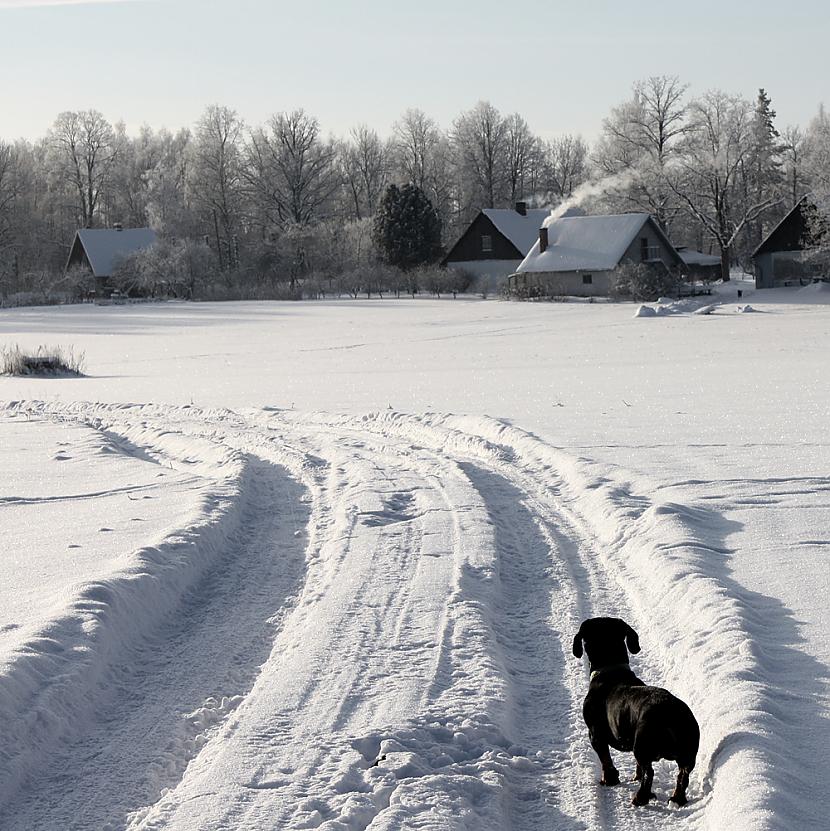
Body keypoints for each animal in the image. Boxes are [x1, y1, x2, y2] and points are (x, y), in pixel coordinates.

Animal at [580, 616, 704, 808]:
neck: (611, 671)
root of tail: (671, 715)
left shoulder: (595, 734)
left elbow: (606, 760)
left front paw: (609, 780)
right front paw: (634, 777)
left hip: (642, 747)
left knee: (649, 773)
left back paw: (640, 798)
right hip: (687, 754)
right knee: (682, 775)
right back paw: (677, 798)